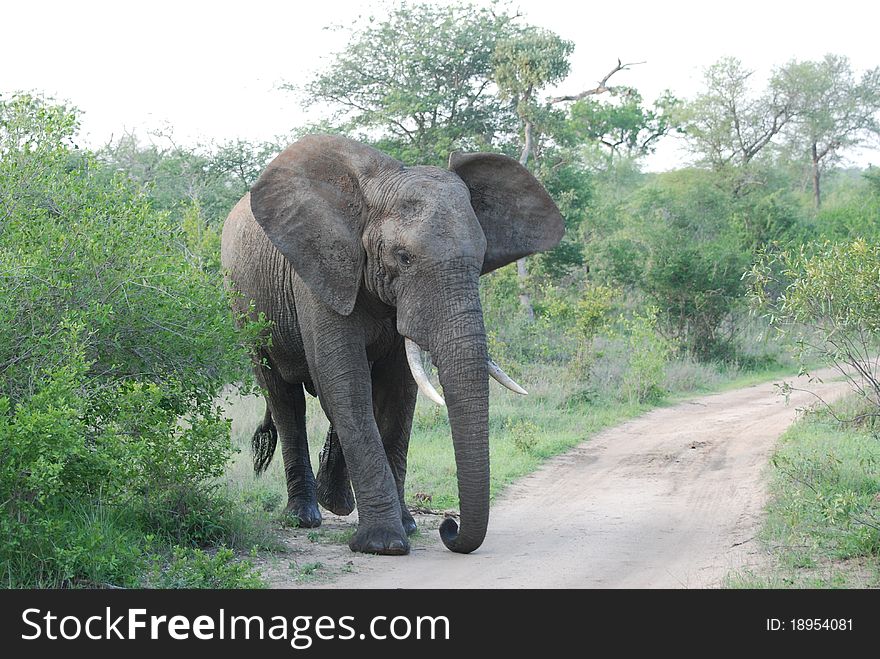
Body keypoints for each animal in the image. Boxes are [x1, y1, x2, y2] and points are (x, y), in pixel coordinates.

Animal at [220, 135, 564, 556]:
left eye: (481, 257)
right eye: (404, 257)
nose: (449, 527)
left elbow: (399, 392)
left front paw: (408, 526)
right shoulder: (321, 269)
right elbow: (344, 381)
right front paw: (383, 544)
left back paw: (337, 502)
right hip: (245, 309)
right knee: (284, 399)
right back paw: (304, 517)